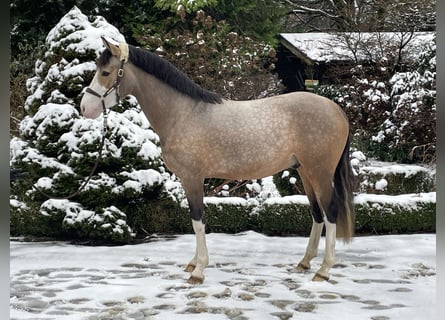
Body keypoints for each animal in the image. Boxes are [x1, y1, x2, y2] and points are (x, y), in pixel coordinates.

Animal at [80, 36, 354, 284]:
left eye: (106, 72)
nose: (84, 108)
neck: (182, 114)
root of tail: (336, 109)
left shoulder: (192, 178)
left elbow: (197, 219)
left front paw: (198, 270)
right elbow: (196, 220)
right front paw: (193, 264)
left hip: (319, 172)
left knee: (330, 211)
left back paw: (324, 270)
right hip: (305, 171)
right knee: (317, 213)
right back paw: (305, 263)